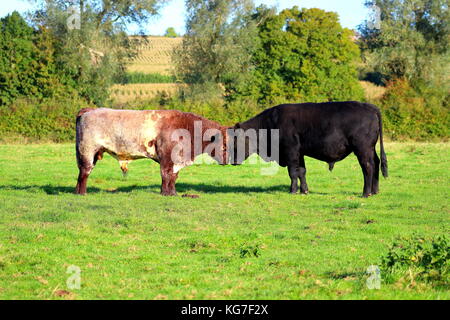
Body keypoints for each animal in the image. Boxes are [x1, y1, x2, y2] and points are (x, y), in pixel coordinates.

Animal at [75, 107, 229, 195]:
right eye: (225, 144)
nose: (228, 160)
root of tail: (89, 110)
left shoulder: (176, 160)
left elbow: (174, 176)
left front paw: (173, 193)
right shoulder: (167, 157)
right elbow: (166, 175)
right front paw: (166, 193)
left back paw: (77, 191)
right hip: (87, 150)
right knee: (85, 171)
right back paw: (82, 193)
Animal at [230, 102, 388, 198]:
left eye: (235, 141)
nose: (232, 161)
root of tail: (370, 106)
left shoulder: (291, 151)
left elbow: (293, 172)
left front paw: (292, 191)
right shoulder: (299, 153)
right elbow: (302, 171)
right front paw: (304, 190)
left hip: (362, 149)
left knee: (368, 167)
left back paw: (366, 193)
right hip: (371, 149)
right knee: (376, 163)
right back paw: (375, 191)